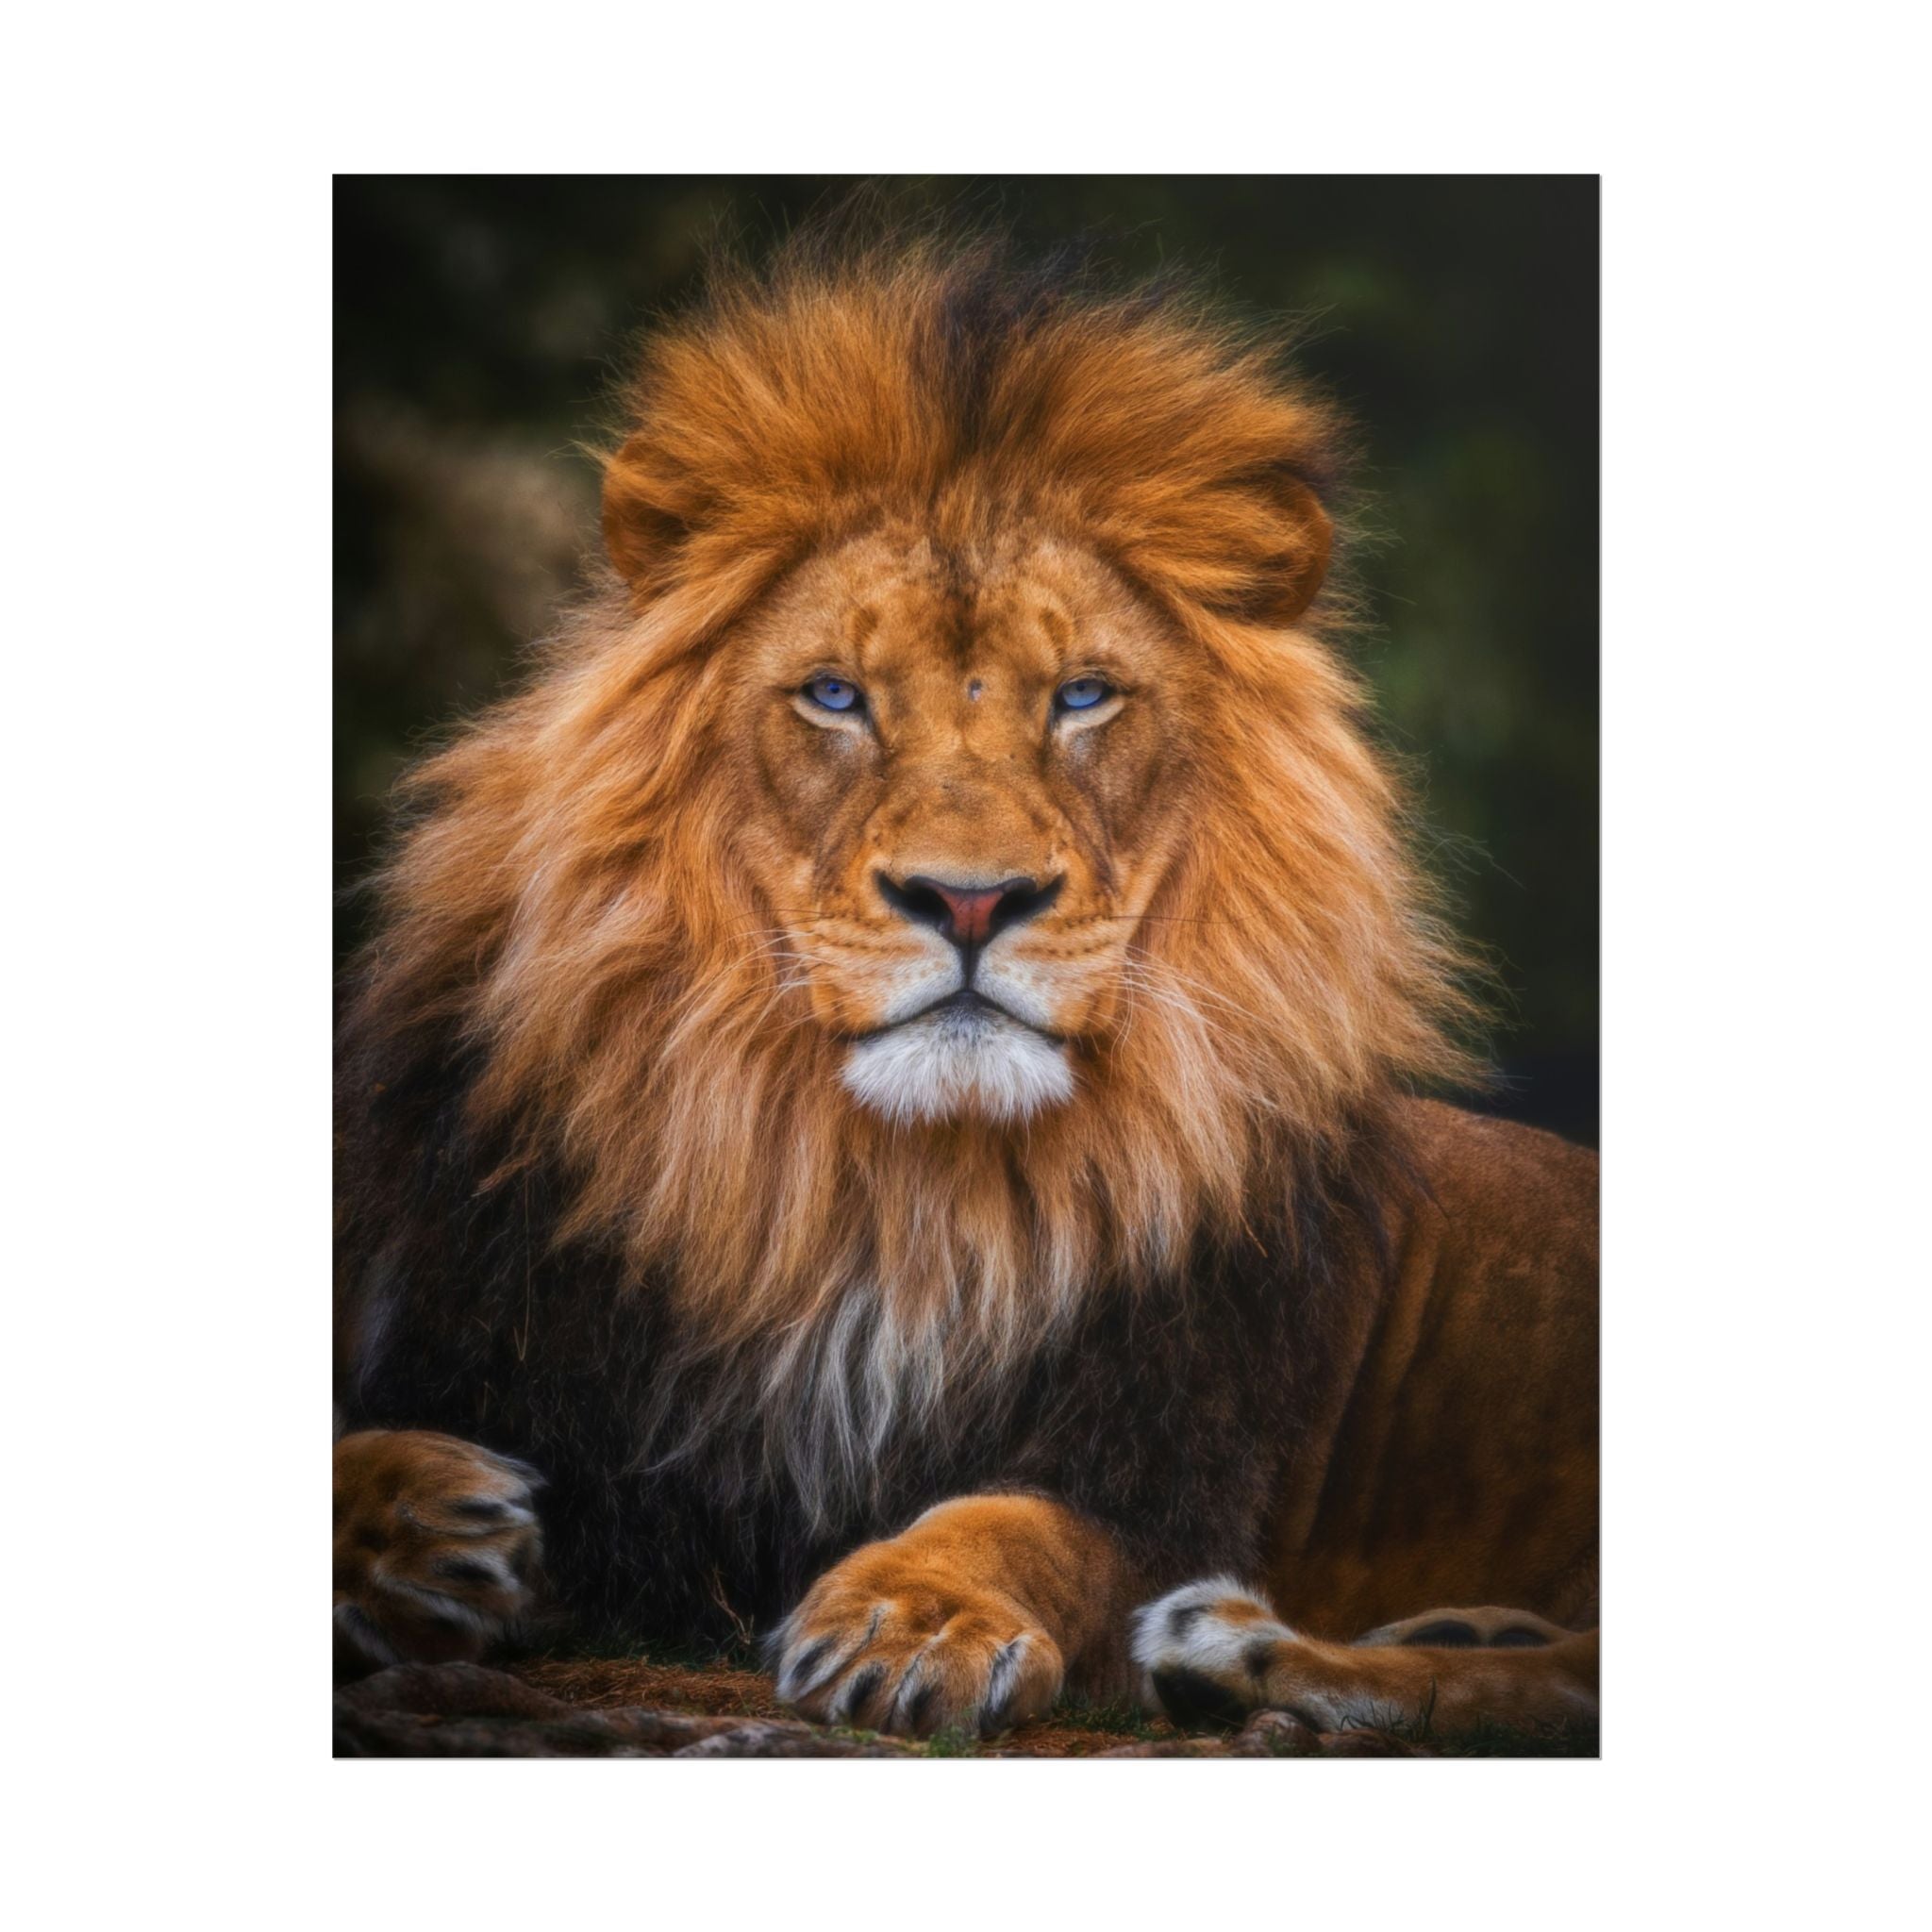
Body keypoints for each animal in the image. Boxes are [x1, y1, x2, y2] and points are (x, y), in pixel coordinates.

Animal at [334, 231, 1599, 1747]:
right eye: (833, 695)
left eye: (1083, 696)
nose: (972, 900)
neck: (881, 1194)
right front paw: (421, 1522)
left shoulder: (1165, 1465)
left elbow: (1018, 1523)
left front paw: (912, 1616)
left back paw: (1243, 1650)